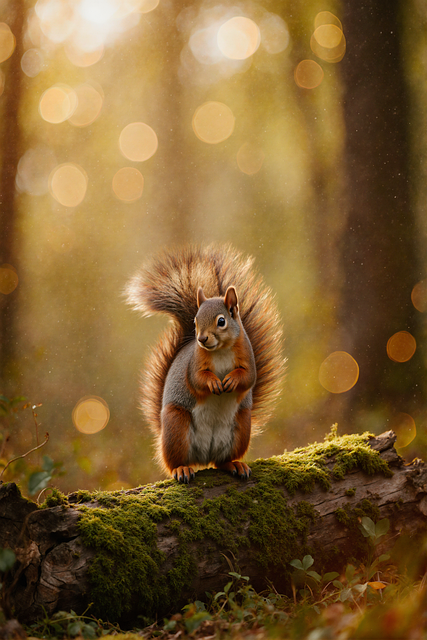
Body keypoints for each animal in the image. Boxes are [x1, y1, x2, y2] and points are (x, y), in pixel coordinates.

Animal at [126, 244, 285, 483]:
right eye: (195, 321)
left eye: (222, 321)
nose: (201, 339)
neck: (220, 351)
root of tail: (204, 457)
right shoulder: (194, 363)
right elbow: (197, 379)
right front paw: (213, 383)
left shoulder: (248, 358)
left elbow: (248, 377)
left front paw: (231, 380)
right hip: (177, 425)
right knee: (174, 462)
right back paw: (181, 469)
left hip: (241, 427)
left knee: (220, 461)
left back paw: (234, 464)